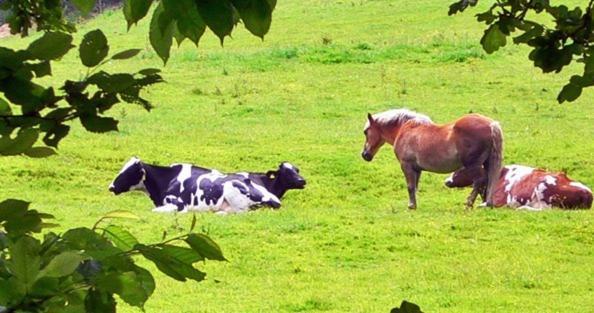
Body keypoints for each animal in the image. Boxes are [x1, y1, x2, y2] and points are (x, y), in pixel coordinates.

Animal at [358, 108, 502, 208]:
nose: (365, 154)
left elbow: (410, 186)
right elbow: (415, 187)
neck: (406, 128)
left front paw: (411, 206)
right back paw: (485, 203)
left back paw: (470, 202)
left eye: (366, 132)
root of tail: (491, 125)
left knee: (480, 181)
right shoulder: (417, 169)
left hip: (473, 165)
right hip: (486, 163)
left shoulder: (406, 166)